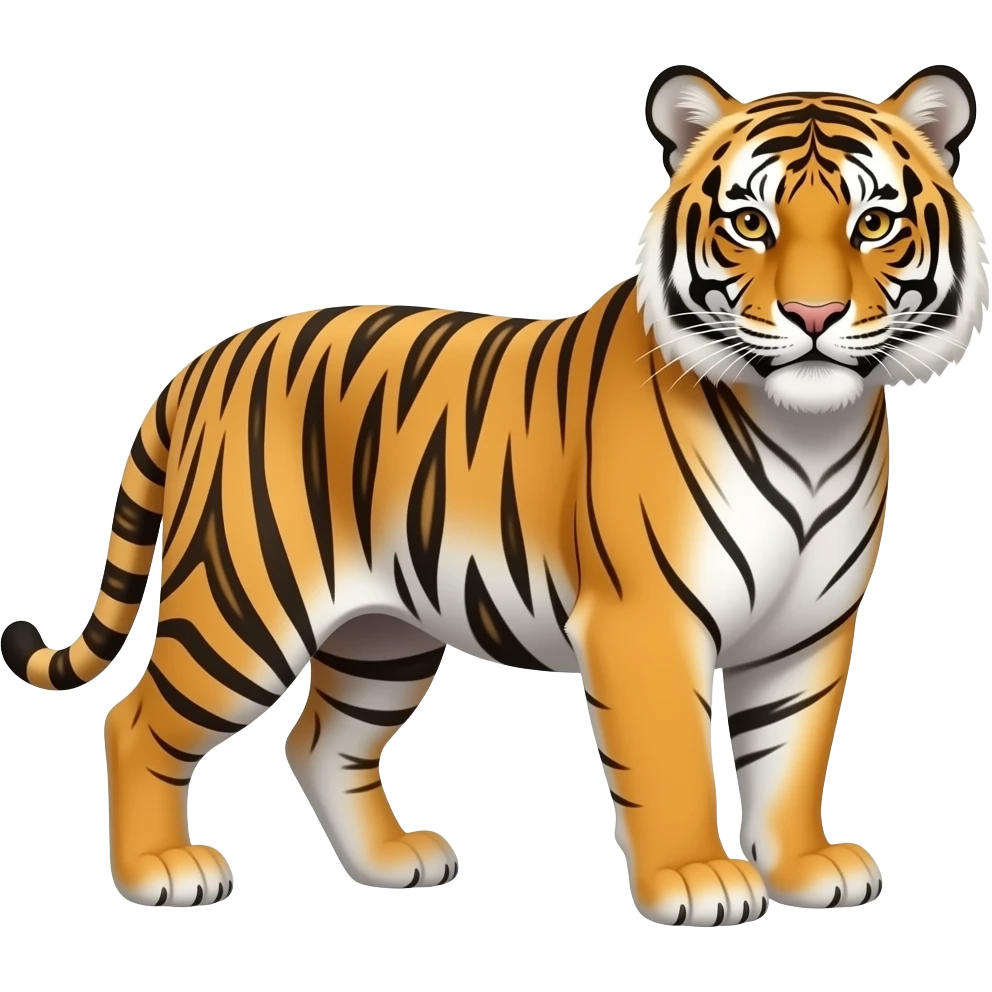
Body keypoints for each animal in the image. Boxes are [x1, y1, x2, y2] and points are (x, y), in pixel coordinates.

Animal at [1, 63, 986, 925]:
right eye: (749, 222)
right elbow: (671, 757)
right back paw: (160, 873)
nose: (815, 318)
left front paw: (804, 868)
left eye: (873, 223)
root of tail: (204, 361)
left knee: (319, 742)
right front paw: (696, 879)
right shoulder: (647, 620)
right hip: (243, 602)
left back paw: (394, 862)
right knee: (136, 723)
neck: (809, 432)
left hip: (382, 633)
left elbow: (792, 755)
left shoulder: (808, 627)